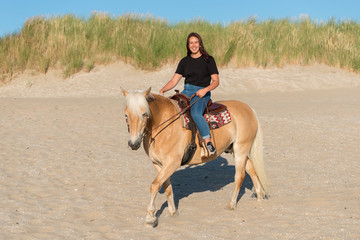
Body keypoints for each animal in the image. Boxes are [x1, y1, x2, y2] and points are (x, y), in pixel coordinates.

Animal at [121, 87, 270, 226]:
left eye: (144, 114)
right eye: (126, 115)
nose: (133, 144)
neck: (164, 125)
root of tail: (249, 109)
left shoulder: (172, 163)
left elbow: (154, 185)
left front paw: (150, 217)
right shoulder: (158, 164)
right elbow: (166, 186)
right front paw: (172, 212)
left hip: (241, 149)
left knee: (239, 176)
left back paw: (232, 204)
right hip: (236, 150)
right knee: (251, 169)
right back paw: (259, 196)